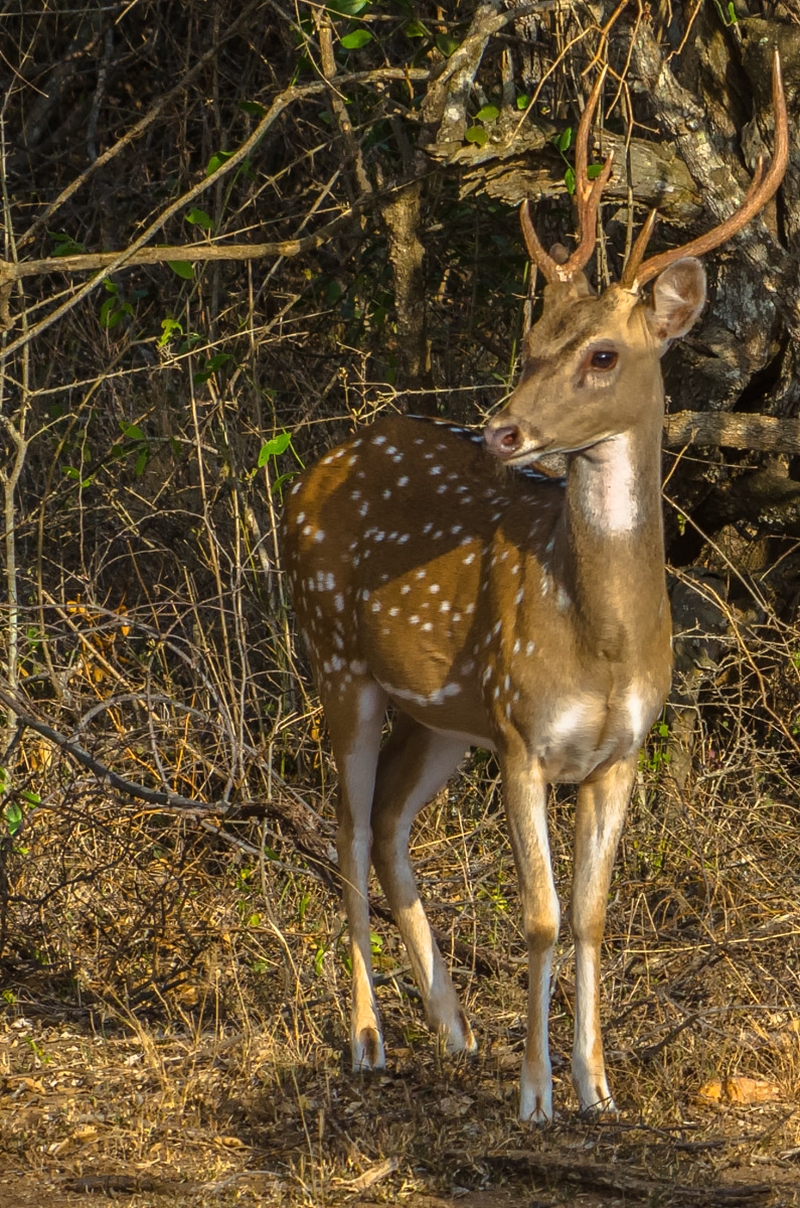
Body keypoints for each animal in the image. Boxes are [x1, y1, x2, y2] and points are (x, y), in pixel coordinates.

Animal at [281, 56, 788, 1123]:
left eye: (602, 353)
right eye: (531, 337)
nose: (502, 430)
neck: (600, 642)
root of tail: (319, 468)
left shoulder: (616, 750)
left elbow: (593, 915)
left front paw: (597, 1085)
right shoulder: (521, 733)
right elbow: (543, 916)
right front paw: (536, 1094)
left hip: (442, 713)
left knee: (386, 825)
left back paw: (453, 1030)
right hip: (337, 657)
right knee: (343, 828)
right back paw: (368, 1040)